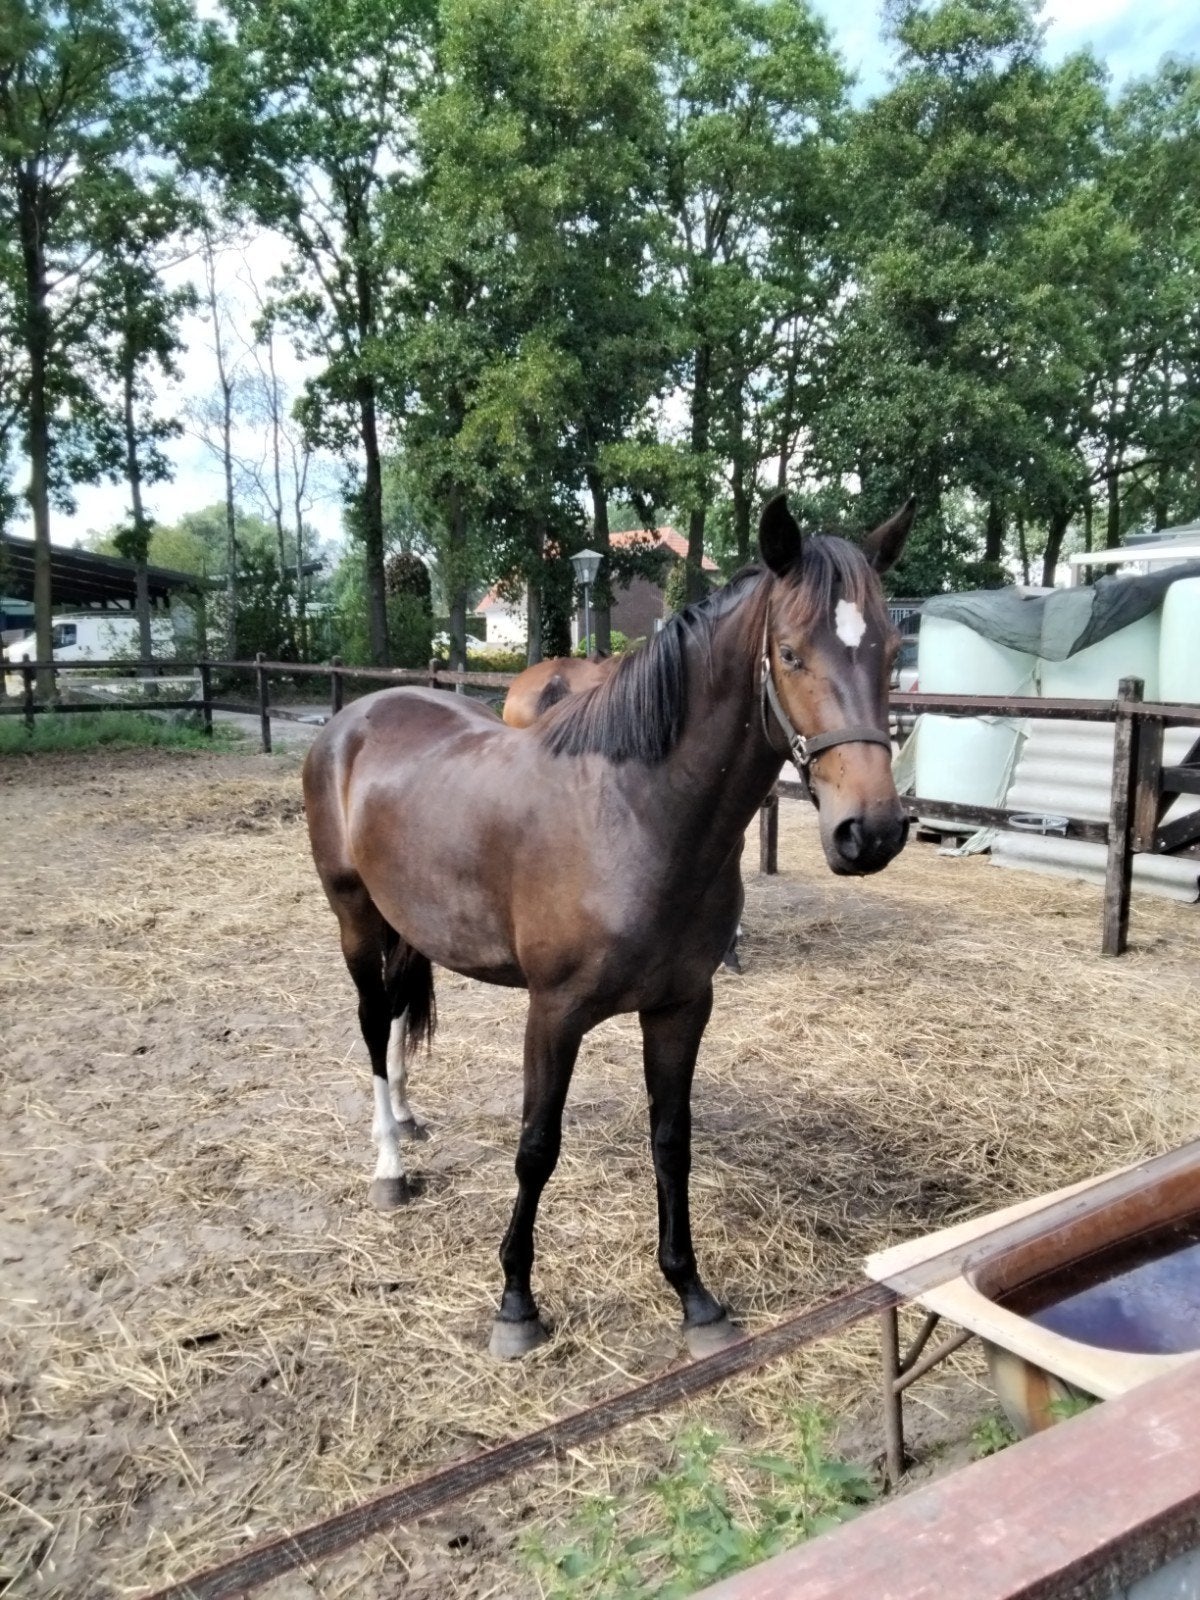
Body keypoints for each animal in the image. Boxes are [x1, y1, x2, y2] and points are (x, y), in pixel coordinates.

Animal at [302, 493, 914, 1359]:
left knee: (392, 1018)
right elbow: (536, 1149)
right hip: (353, 917)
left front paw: (693, 1296)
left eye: (892, 651)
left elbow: (671, 1140)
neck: (634, 815)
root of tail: (356, 713)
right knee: (368, 1021)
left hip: (406, 924)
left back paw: (409, 1122)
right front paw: (516, 1304)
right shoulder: (553, 1014)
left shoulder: (682, 1007)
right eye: (791, 653)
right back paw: (388, 1166)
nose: (873, 832)